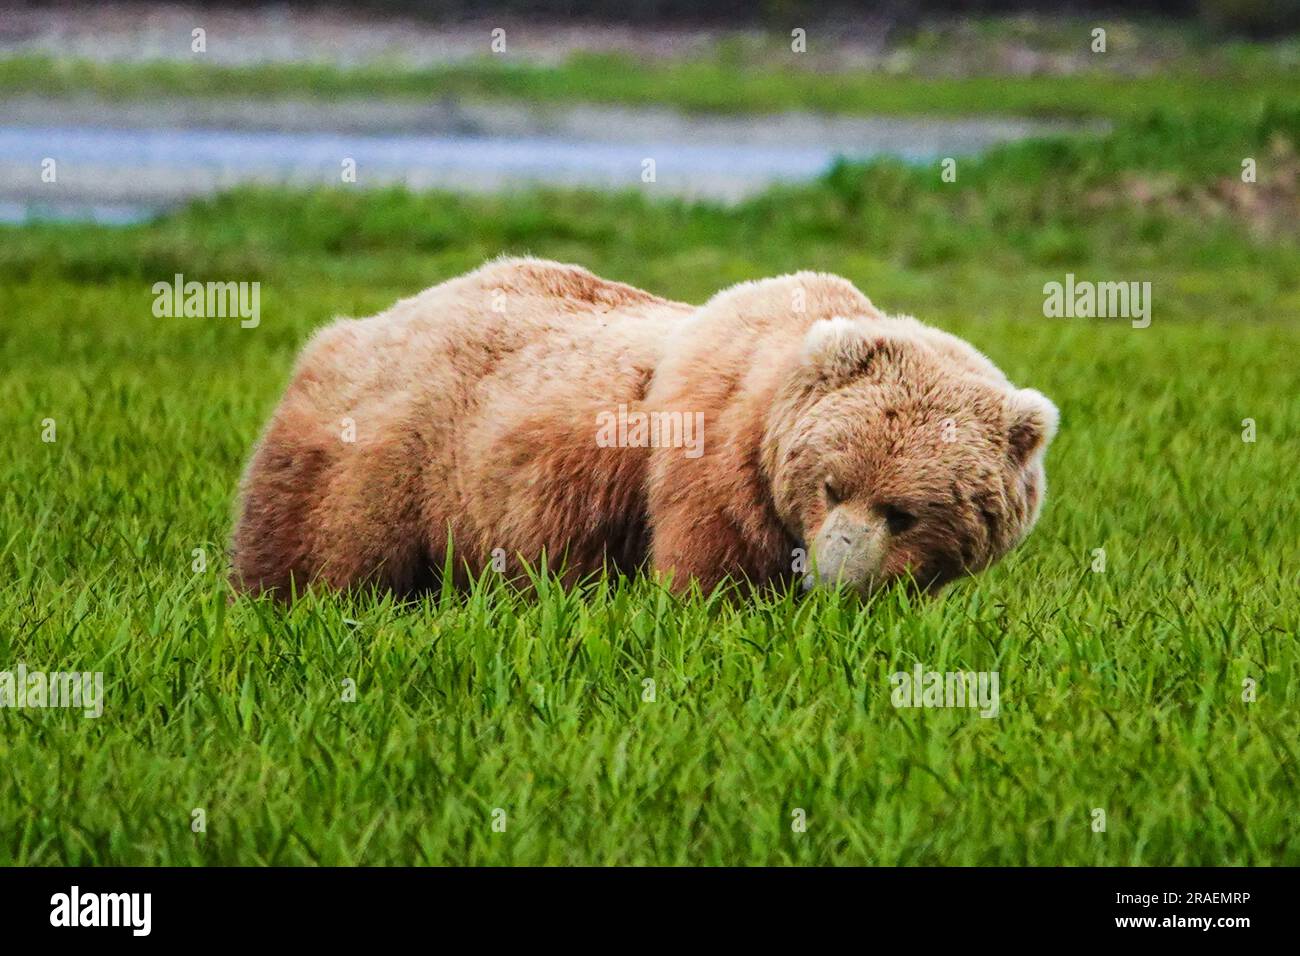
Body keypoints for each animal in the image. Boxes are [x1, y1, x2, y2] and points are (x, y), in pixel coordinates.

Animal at [231, 254, 1055, 598]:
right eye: (830, 485)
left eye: (905, 510)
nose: (836, 578)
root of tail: (351, 329)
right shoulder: (708, 470)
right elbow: (708, 583)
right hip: (383, 460)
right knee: (324, 558)